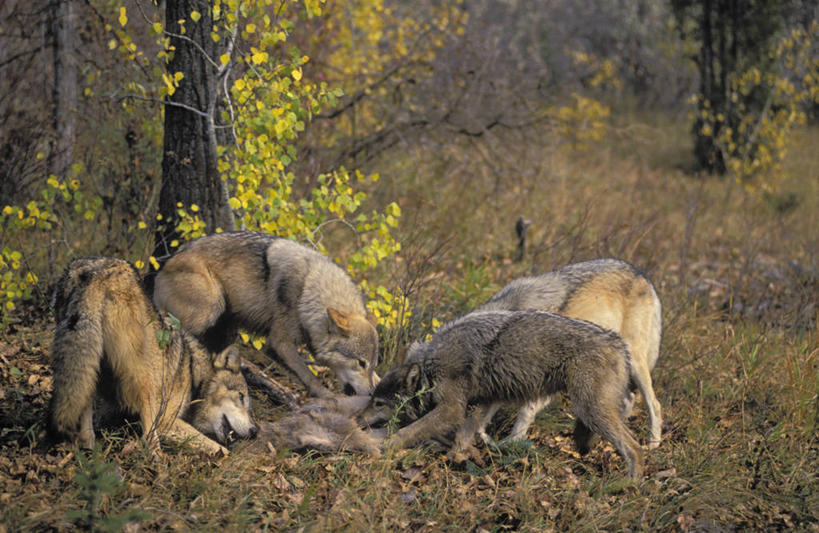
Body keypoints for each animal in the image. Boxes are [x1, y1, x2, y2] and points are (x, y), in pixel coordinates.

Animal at [47, 256, 256, 454]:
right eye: (241, 397)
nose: (255, 431)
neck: (193, 372)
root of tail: (93, 272)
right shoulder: (166, 419)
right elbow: (218, 448)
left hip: (88, 370)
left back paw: (89, 450)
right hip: (145, 376)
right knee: (149, 433)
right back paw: (156, 459)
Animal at [154, 231, 382, 396]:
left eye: (372, 365)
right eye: (360, 363)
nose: (372, 394)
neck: (308, 289)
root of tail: (163, 265)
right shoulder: (279, 344)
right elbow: (309, 376)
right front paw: (328, 398)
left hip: (227, 322)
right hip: (211, 307)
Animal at [362, 308, 644, 478]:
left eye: (378, 403)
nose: (356, 418)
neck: (431, 366)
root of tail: (620, 345)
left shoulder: (451, 408)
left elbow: (408, 432)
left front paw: (386, 446)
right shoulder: (486, 402)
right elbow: (464, 435)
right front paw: (456, 458)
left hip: (589, 410)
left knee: (634, 447)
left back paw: (627, 486)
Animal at [478, 256, 664, 446]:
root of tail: (640, 274)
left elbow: (525, 412)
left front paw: (511, 443)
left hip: (633, 362)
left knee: (654, 405)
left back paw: (653, 443)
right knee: (628, 399)